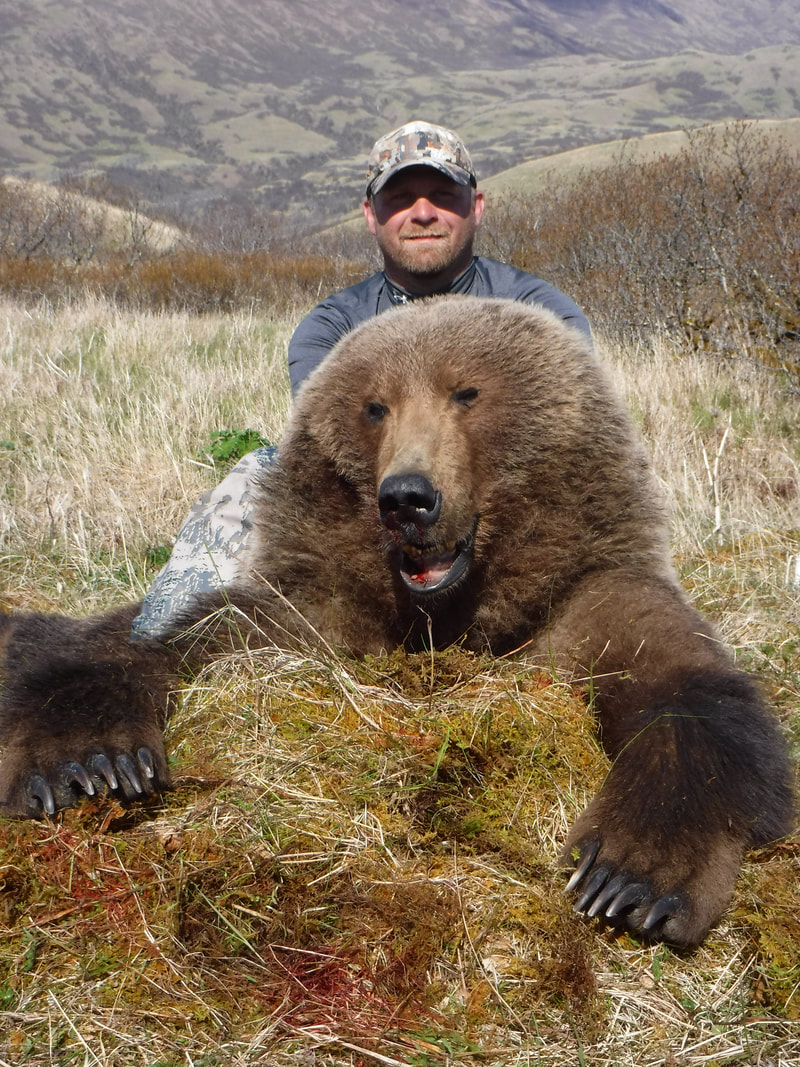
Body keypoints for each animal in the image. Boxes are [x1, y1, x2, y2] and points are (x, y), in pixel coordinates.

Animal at [0, 295, 793, 949]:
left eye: (467, 391)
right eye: (374, 405)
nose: (407, 497)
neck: (448, 613)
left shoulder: (587, 601)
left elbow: (690, 700)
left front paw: (629, 876)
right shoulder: (314, 613)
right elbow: (159, 647)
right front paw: (88, 765)